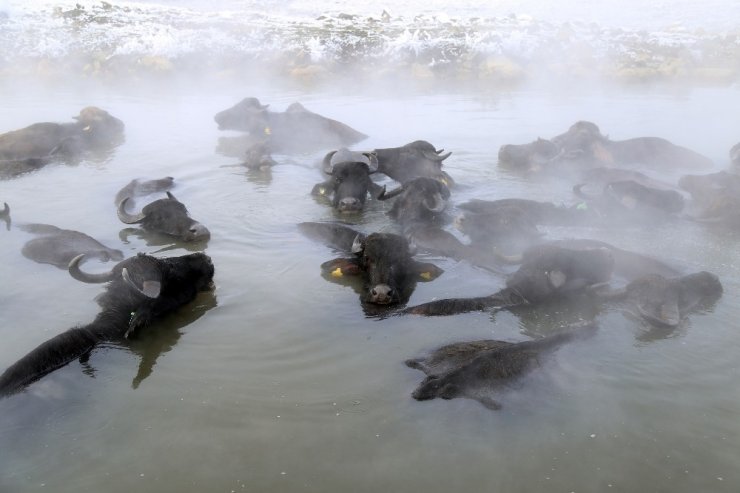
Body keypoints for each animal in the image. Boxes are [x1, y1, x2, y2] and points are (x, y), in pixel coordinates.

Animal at [408, 320, 600, 410]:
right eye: (423, 382)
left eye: (445, 393)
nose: (415, 394)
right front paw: (411, 362)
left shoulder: (471, 390)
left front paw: (496, 406)